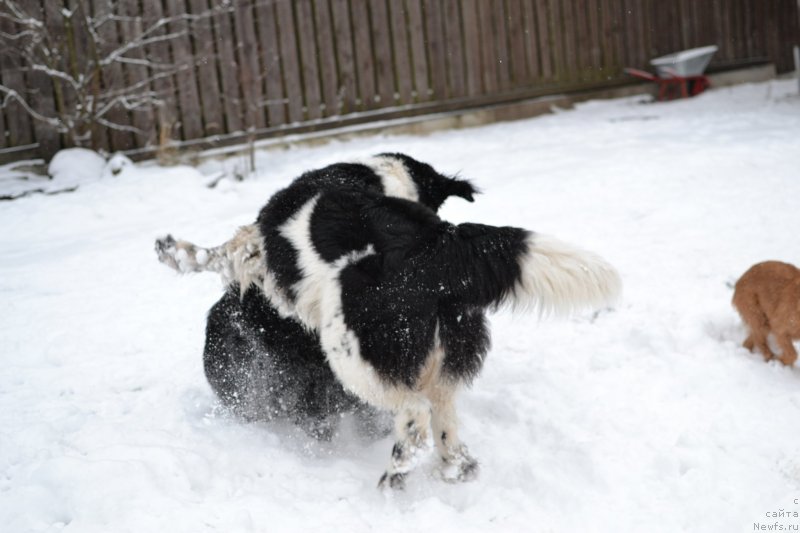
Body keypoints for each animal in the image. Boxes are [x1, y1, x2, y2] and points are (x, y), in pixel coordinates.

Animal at [155, 152, 620, 488]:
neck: (384, 180)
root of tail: (439, 244)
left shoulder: (255, 246)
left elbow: (217, 252)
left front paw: (172, 250)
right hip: (443, 351)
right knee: (442, 414)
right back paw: (454, 468)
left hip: (352, 355)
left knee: (414, 415)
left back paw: (394, 476)